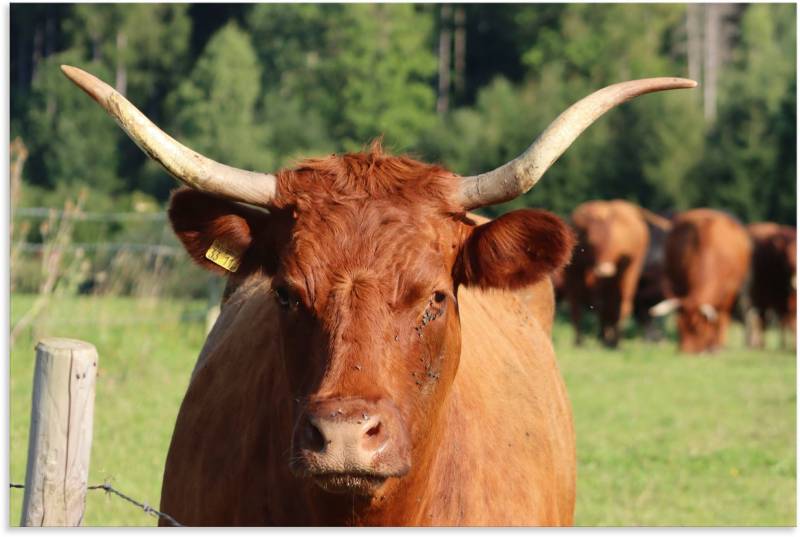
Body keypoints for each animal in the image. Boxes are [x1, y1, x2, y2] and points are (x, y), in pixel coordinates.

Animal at [564, 199, 648, 346]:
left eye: (611, 240)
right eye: (592, 242)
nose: (605, 269)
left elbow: (602, 307)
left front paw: (604, 338)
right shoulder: (572, 277)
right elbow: (576, 309)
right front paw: (579, 341)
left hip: (630, 274)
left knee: (622, 305)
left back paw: (616, 341)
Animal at [648, 208, 752, 352]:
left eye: (698, 329)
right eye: (679, 326)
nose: (686, 352)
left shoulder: (730, 291)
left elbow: (721, 318)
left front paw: (716, 346)